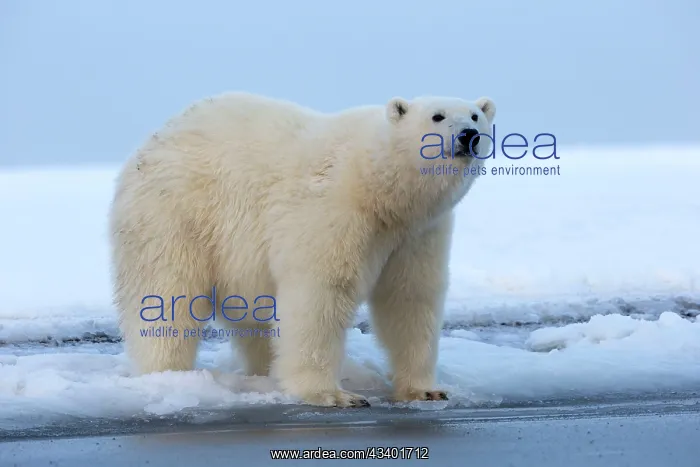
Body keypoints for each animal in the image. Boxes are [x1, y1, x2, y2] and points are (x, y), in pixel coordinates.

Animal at [109, 91, 496, 407]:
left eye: (476, 115)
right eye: (437, 116)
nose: (468, 136)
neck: (380, 189)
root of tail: (152, 142)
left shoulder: (418, 233)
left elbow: (411, 297)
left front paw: (426, 390)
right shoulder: (335, 210)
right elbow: (321, 293)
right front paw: (332, 395)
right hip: (177, 215)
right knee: (166, 294)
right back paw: (168, 374)